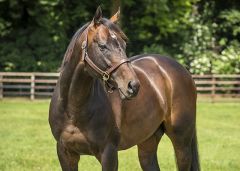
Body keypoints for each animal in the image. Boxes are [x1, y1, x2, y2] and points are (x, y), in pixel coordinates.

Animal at [47, 6, 200, 171]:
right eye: (102, 46)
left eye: (124, 44)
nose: (133, 85)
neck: (74, 109)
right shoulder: (65, 153)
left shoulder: (109, 153)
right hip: (148, 142)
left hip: (181, 142)